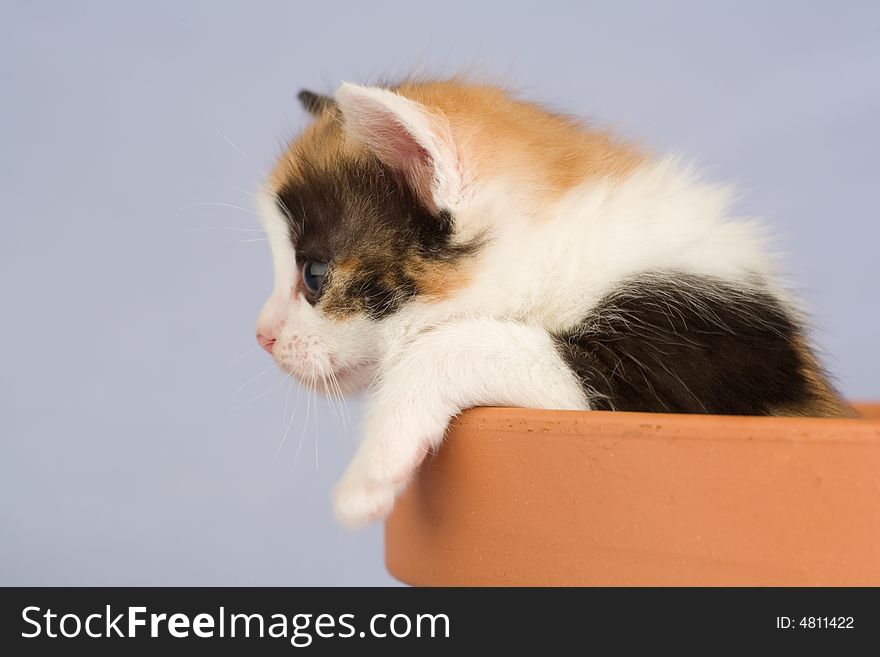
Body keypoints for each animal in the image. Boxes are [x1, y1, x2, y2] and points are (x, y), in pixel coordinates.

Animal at [256, 78, 852, 528]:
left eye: (313, 276)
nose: (262, 336)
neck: (565, 247)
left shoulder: (681, 372)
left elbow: (448, 345)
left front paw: (370, 471)